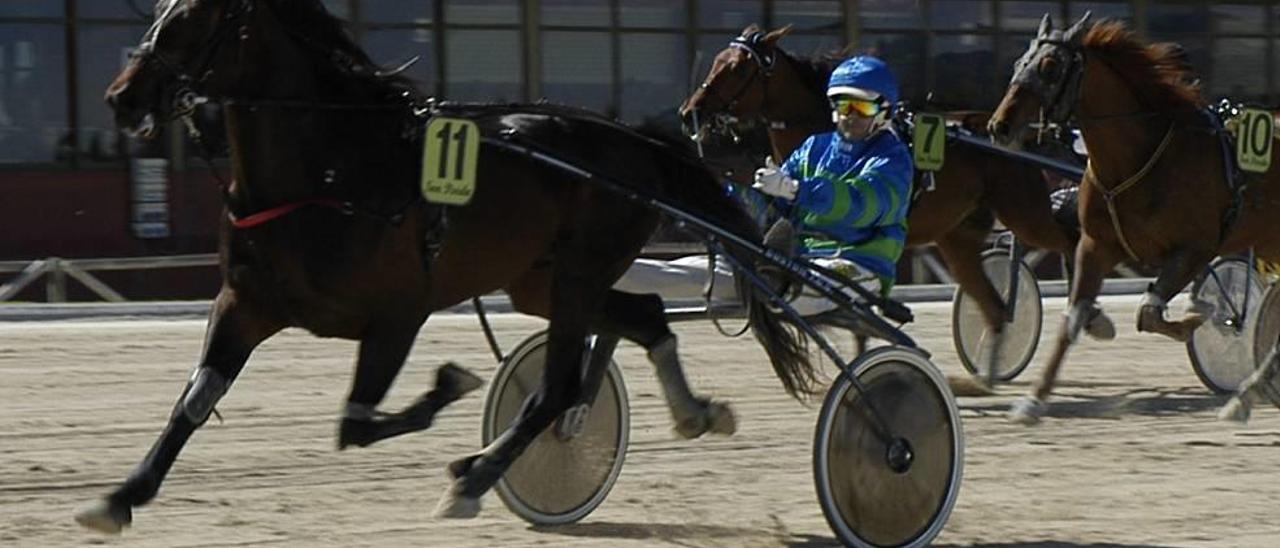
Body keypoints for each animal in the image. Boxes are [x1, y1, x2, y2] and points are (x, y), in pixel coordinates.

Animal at [80, 0, 814, 530]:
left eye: (194, 17)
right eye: (159, 8)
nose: (121, 96)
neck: (329, 171)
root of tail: (635, 141)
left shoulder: (397, 316)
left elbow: (354, 424)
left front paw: (451, 385)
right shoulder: (245, 304)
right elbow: (196, 400)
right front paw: (121, 496)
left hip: (578, 274)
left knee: (558, 388)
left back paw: (475, 477)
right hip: (543, 281)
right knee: (647, 317)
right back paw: (695, 412)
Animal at [680, 26, 1111, 384]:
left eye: (735, 68)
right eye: (717, 60)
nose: (689, 113)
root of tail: (1007, 134)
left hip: (1023, 213)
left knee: (1071, 240)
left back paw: (1090, 314)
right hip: (957, 238)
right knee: (993, 306)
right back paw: (988, 374)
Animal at [988, 13, 1280, 425]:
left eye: (1050, 67)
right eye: (1019, 63)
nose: (999, 126)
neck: (1138, 158)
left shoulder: (1196, 250)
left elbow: (1149, 313)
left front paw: (1197, 316)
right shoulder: (1095, 245)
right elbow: (1073, 319)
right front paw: (1034, 399)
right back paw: (1245, 396)